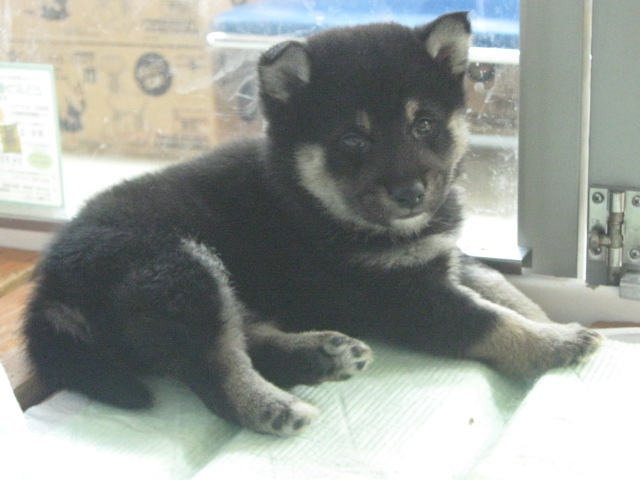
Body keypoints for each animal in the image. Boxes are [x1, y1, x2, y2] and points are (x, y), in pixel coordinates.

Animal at [24, 12, 601, 436]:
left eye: (424, 124)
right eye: (353, 139)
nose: (411, 194)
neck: (310, 199)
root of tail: (50, 284)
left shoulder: (440, 256)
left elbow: (501, 286)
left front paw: (550, 321)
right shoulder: (399, 295)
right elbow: (488, 320)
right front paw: (554, 343)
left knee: (240, 336)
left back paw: (321, 354)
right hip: (179, 268)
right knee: (212, 366)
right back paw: (270, 407)